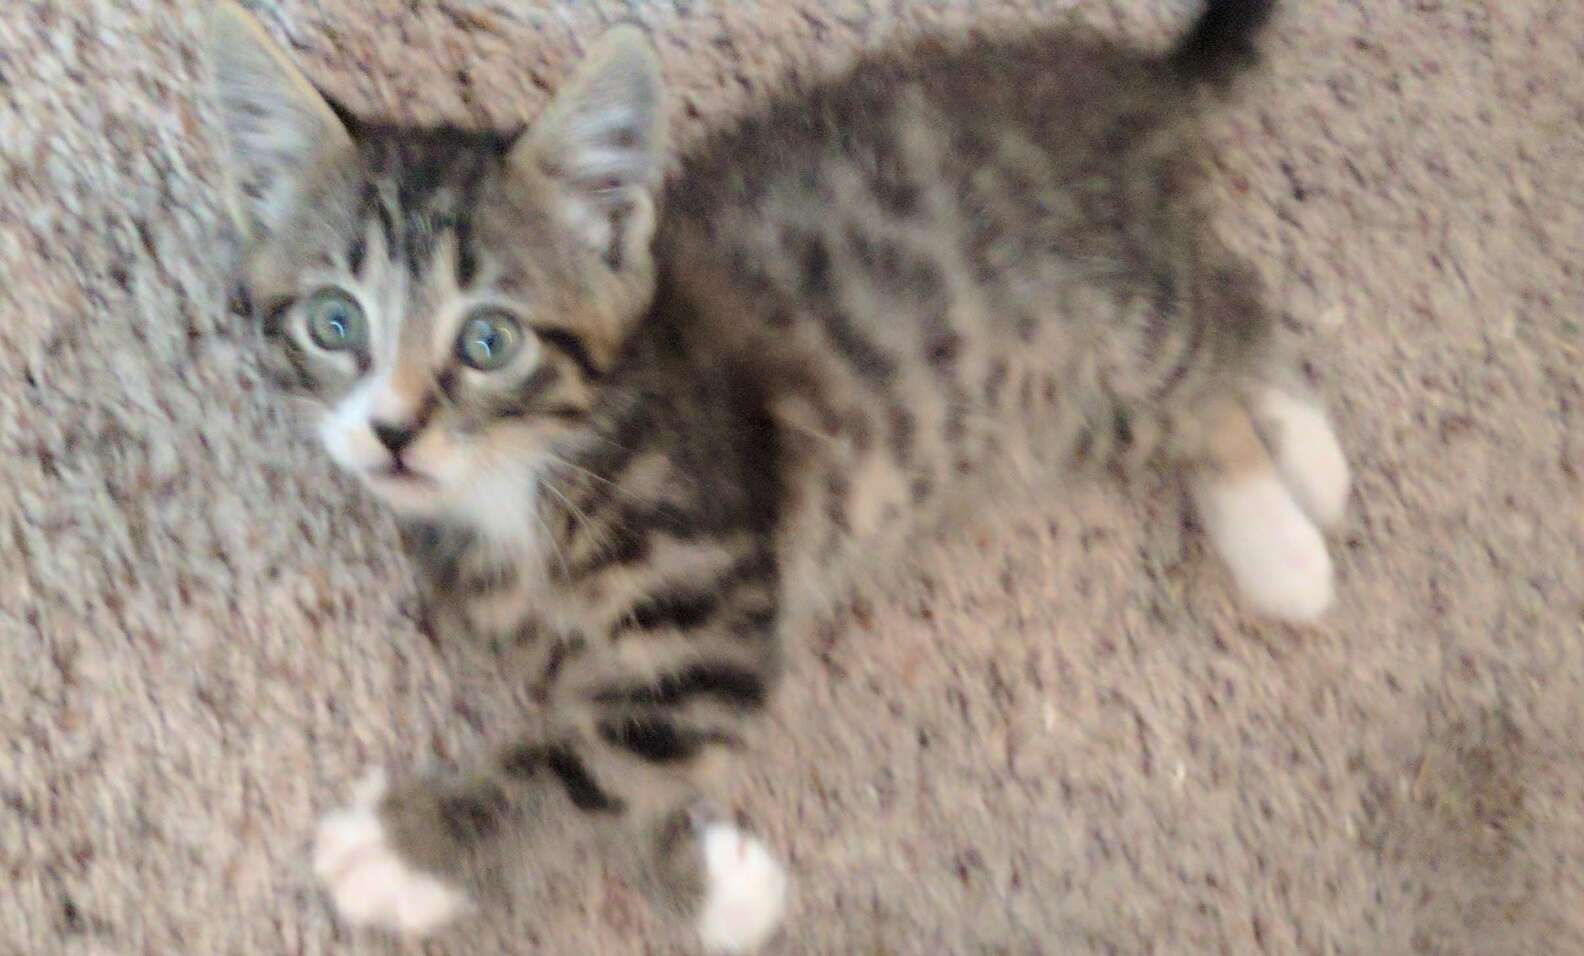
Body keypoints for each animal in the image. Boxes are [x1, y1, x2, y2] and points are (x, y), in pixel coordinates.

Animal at [210, 0, 1349, 949]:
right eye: (334, 322)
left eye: (488, 340)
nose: (394, 431)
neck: (527, 487)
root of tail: (1127, 79)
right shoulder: (603, 657)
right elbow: (630, 760)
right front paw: (718, 883)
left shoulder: (713, 607)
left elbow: (587, 764)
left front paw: (405, 849)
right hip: (1046, 408)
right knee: (1204, 355)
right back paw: (1296, 454)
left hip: (1109, 308)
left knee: (1226, 330)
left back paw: (1290, 520)